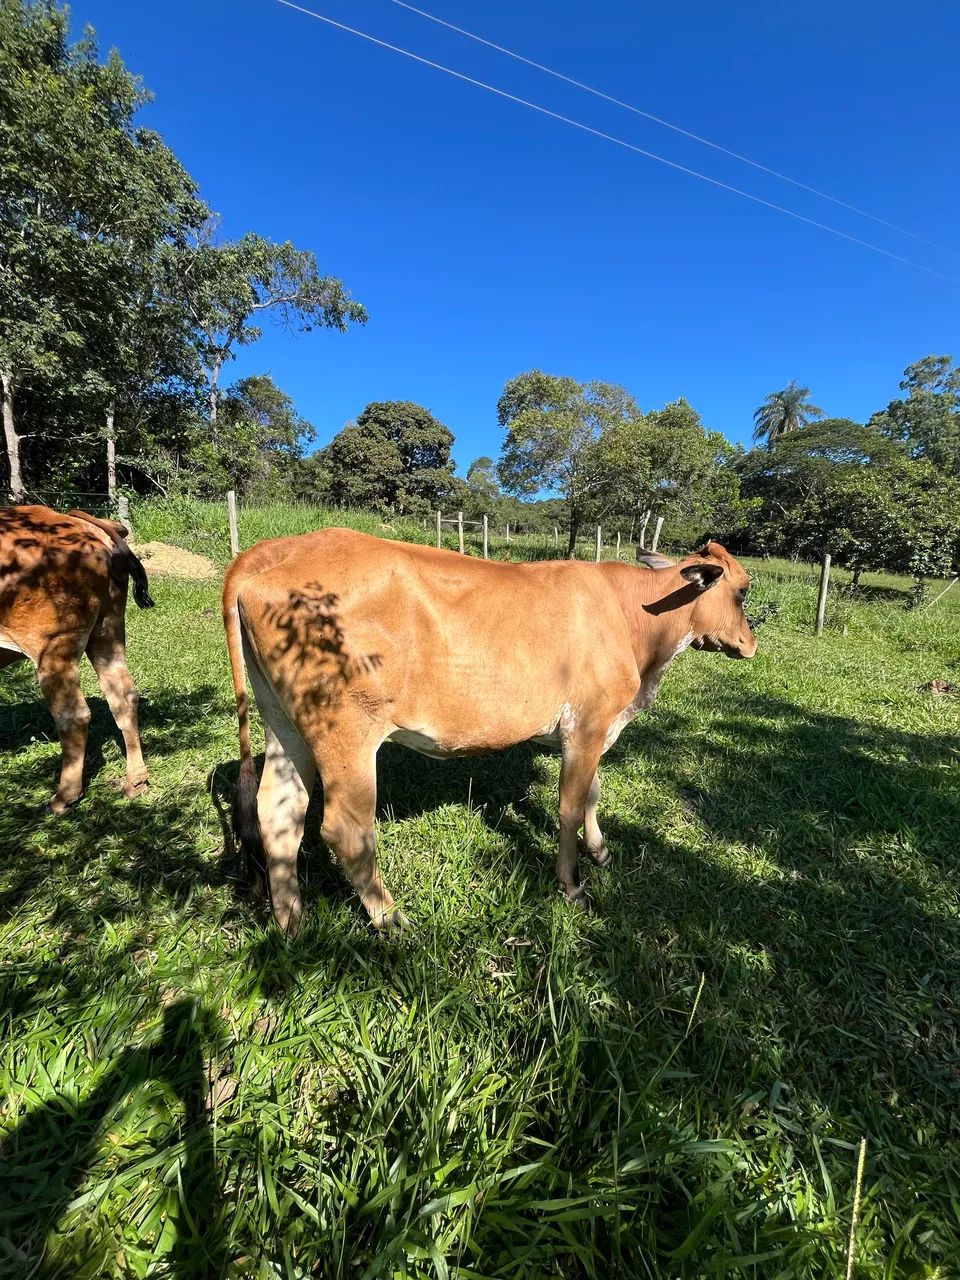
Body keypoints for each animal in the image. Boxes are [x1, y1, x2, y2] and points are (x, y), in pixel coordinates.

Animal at [0, 505, 154, 812]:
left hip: (53, 645)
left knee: (74, 714)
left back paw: (64, 796)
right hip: (108, 629)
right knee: (124, 697)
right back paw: (135, 781)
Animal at [223, 530, 756, 935]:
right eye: (743, 591)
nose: (751, 645)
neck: (637, 626)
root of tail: (273, 550)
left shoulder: (597, 729)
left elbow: (593, 792)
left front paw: (600, 850)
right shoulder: (587, 725)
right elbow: (569, 804)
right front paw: (573, 885)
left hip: (284, 723)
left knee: (278, 812)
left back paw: (291, 924)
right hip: (347, 732)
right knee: (345, 828)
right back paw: (391, 920)